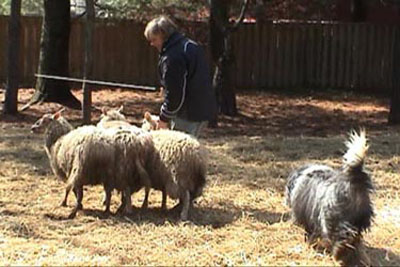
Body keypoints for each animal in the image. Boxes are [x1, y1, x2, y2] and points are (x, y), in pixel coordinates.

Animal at [286, 130, 374, 266]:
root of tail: (354, 183)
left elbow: (308, 234)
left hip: (332, 220)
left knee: (343, 238)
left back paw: (339, 255)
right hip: (359, 221)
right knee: (356, 241)